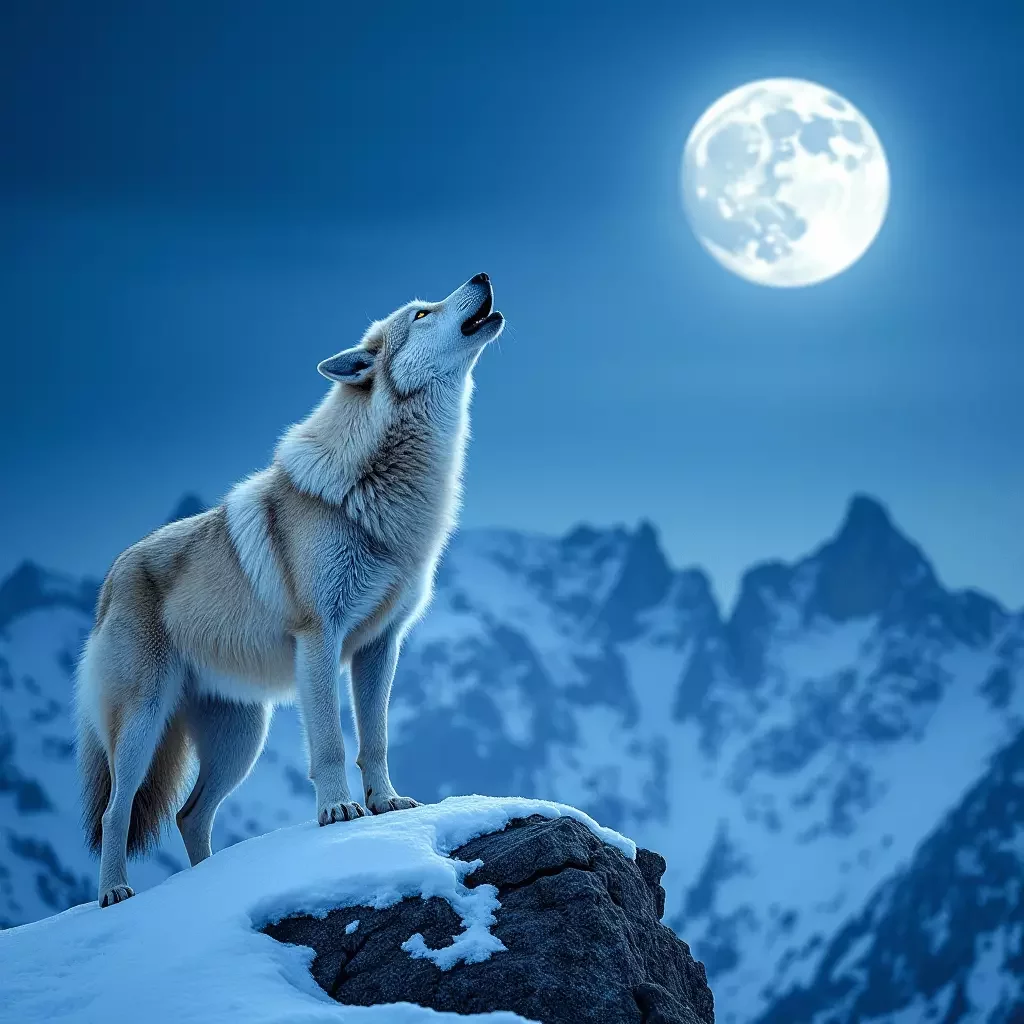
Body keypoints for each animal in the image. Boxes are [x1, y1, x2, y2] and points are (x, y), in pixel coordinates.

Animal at [75, 273, 504, 908]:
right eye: (423, 313)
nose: (481, 277)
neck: (382, 492)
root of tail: (112, 576)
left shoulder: (380, 647)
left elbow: (374, 738)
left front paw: (386, 803)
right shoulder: (319, 639)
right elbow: (330, 742)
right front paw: (339, 811)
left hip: (241, 740)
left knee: (189, 815)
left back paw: (206, 884)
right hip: (143, 726)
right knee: (115, 812)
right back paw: (115, 894)